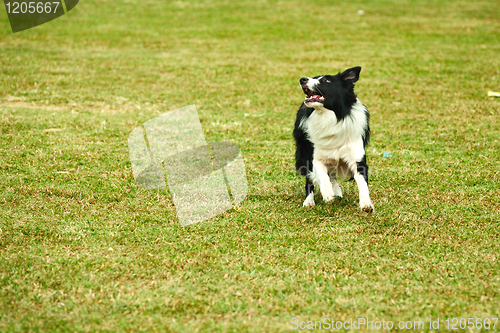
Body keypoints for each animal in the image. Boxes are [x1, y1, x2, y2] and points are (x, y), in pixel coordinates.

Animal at [292, 67, 376, 213]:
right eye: (314, 77)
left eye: (327, 80)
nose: (302, 79)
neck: (331, 117)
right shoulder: (314, 156)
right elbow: (321, 174)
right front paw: (327, 194)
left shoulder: (357, 157)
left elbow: (363, 183)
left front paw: (366, 204)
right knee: (311, 179)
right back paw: (309, 201)